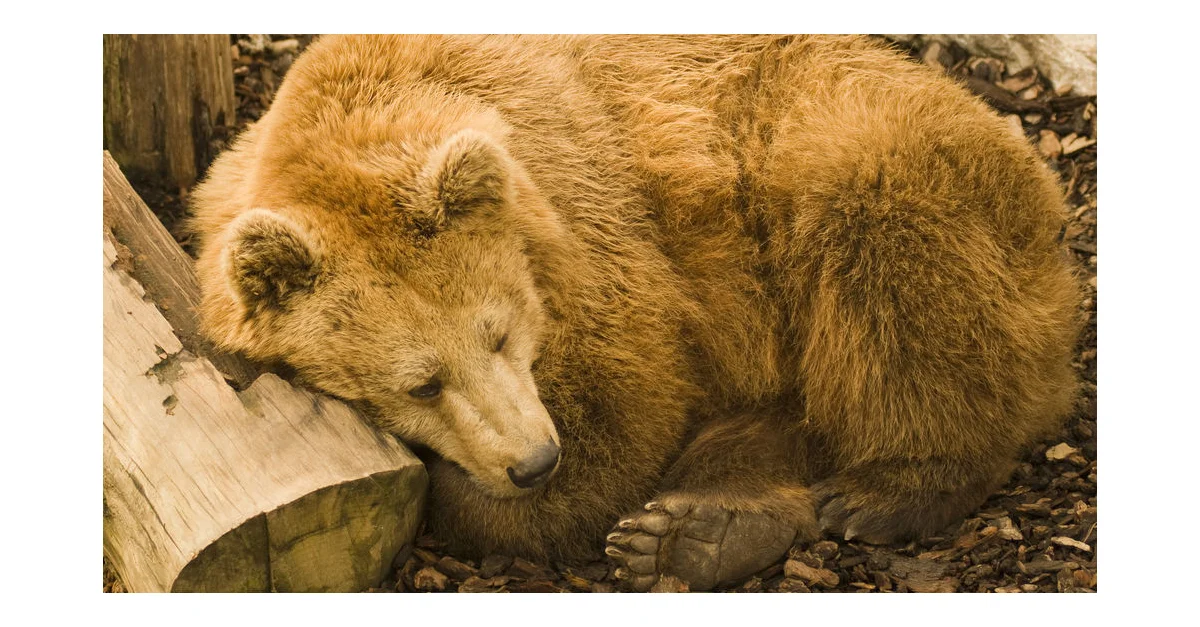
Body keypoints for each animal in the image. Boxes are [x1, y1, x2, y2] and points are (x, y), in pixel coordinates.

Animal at [187, 34, 1080, 590]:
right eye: (420, 384)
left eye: (499, 333)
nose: (533, 460)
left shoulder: (596, 228)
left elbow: (626, 402)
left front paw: (491, 497)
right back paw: (698, 533)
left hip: (862, 158)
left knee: (887, 249)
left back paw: (884, 491)